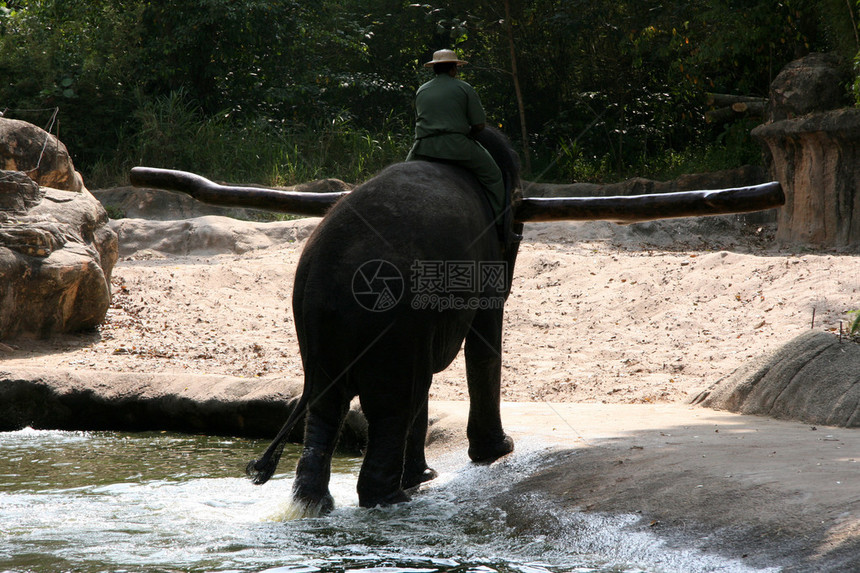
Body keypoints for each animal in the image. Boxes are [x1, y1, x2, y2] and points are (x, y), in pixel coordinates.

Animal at [129, 133, 788, 512]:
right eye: (518, 221)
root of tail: (333, 272)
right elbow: (486, 332)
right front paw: (498, 454)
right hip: (387, 317)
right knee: (390, 399)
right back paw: (390, 496)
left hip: (323, 323)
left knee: (332, 401)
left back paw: (323, 501)